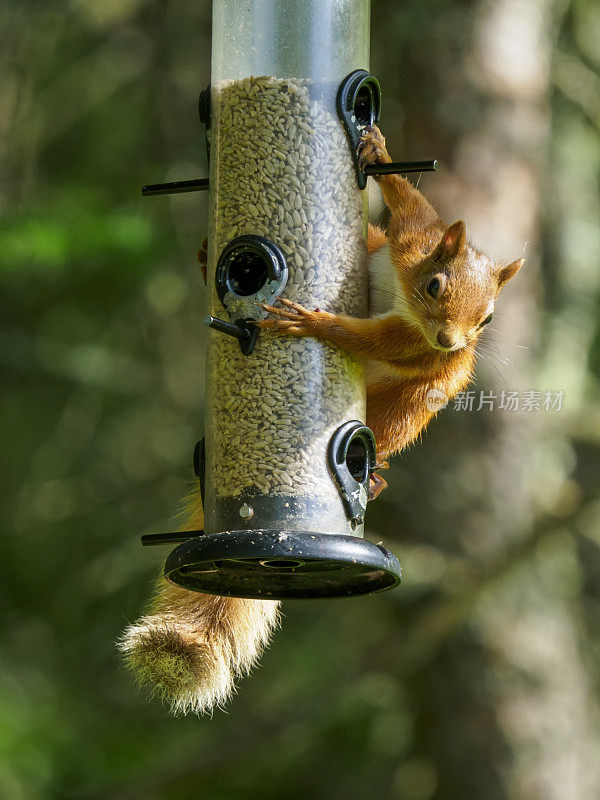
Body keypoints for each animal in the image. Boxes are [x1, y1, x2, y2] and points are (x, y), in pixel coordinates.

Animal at [119, 125, 524, 712]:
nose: (451, 343)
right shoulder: (410, 244)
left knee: (382, 435)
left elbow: (372, 339)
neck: (404, 296)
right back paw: (203, 258)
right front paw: (376, 151)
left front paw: (314, 322)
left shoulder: (411, 343)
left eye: (489, 317)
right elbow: (414, 210)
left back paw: (372, 478)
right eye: (435, 286)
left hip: (404, 404)